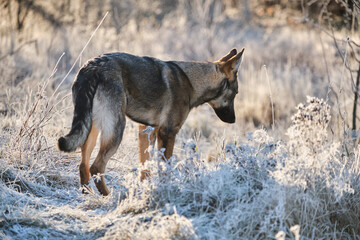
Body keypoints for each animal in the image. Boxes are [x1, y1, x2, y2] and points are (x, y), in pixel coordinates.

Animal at [58, 48, 245, 195]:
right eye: (235, 93)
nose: (234, 120)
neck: (192, 81)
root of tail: (92, 67)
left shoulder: (146, 130)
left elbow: (145, 169)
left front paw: (145, 191)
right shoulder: (167, 133)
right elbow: (165, 169)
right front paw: (165, 190)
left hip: (92, 130)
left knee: (83, 165)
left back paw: (88, 194)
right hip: (116, 130)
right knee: (96, 167)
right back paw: (108, 196)